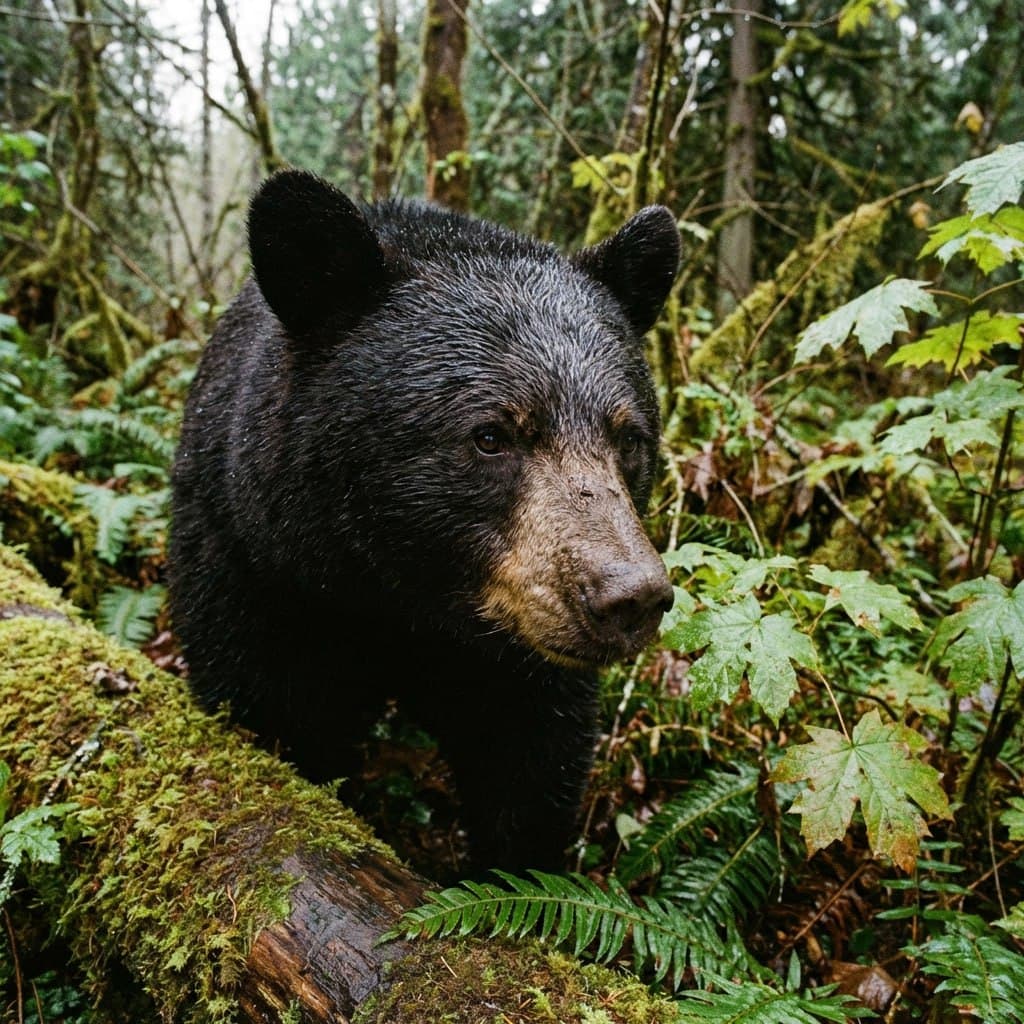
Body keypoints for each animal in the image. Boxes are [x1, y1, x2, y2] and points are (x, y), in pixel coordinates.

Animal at [169, 170, 679, 873]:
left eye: (628, 438)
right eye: (490, 436)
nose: (631, 596)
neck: (400, 600)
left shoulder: (518, 663)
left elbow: (530, 770)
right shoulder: (252, 567)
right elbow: (268, 708)